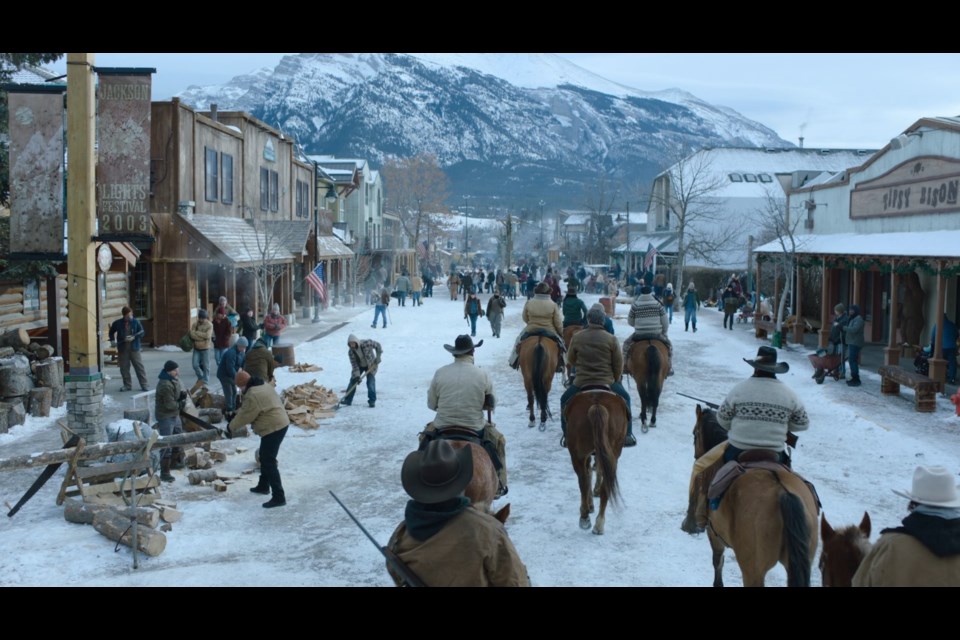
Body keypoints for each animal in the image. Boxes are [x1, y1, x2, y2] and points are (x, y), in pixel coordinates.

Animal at [564, 390, 632, 536]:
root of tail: (597, 404)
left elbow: (589, 473)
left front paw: (590, 504)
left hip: (578, 455)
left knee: (583, 481)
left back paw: (585, 517)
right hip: (613, 453)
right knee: (606, 484)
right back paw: (599, 524)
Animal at [688, 404, 816, 584]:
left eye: (695, 434)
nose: (696, 456)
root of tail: (784, 494)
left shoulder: (714, 533)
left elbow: (718, 562)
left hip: (753, 570)